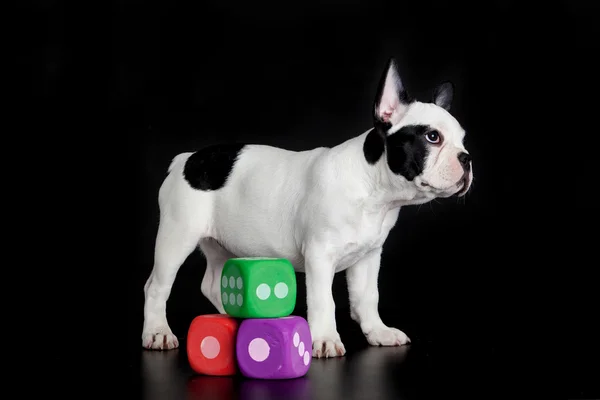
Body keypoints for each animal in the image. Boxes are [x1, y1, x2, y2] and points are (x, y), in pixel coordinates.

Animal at [142, 57, 474, 358]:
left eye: (462, 141)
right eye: (433, 137)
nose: (467, 158)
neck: (374, 189)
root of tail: (187, 159)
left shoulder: (368, 257)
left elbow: (367, 297)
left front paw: (377, 331)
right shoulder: (320, 255)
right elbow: (323, 300)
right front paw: (324, 339)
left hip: (220, 243)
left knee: (212, 284)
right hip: (177, 236)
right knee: (157, 287)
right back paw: (158, 333)